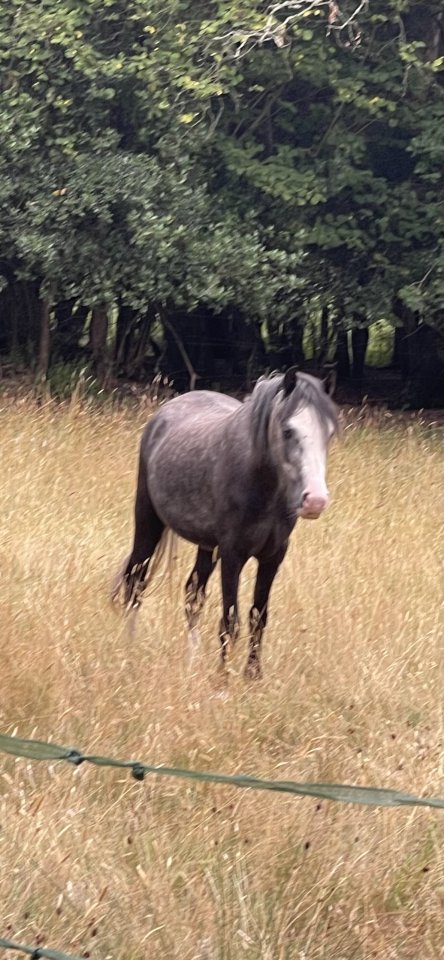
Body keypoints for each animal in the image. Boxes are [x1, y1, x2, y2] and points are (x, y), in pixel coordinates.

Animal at [112, 367, 338, 679]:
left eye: (329, 433)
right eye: (287, 431)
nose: (315, 500)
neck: (262, 484)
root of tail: (167, 410)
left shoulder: (273, 556)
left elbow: (258, 617)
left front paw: (253, 676)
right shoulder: (233, 555)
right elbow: (230, 621)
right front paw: (223, 678)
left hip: (206, 546)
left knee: (193, 595)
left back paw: (192, 660)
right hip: (148, 522)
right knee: (135, 582)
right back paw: (128, 649)